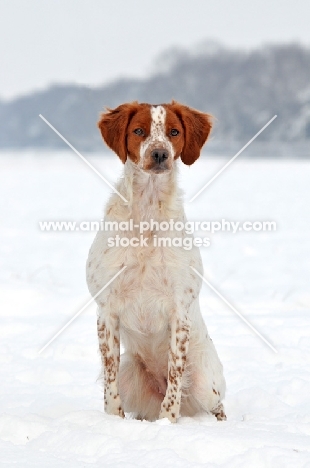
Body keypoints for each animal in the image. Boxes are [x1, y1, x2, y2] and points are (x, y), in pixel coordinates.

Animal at [86, 102, 226, 424]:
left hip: (206, 383)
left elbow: (175, 376)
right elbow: (109, 381)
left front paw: (167, 422)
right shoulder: (106, 310)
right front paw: (113, 420)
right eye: (139, 131)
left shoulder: (179, 311)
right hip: (130, 370)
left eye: (173, 132)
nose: (160, 153)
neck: (147, 214)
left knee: (216, 405)